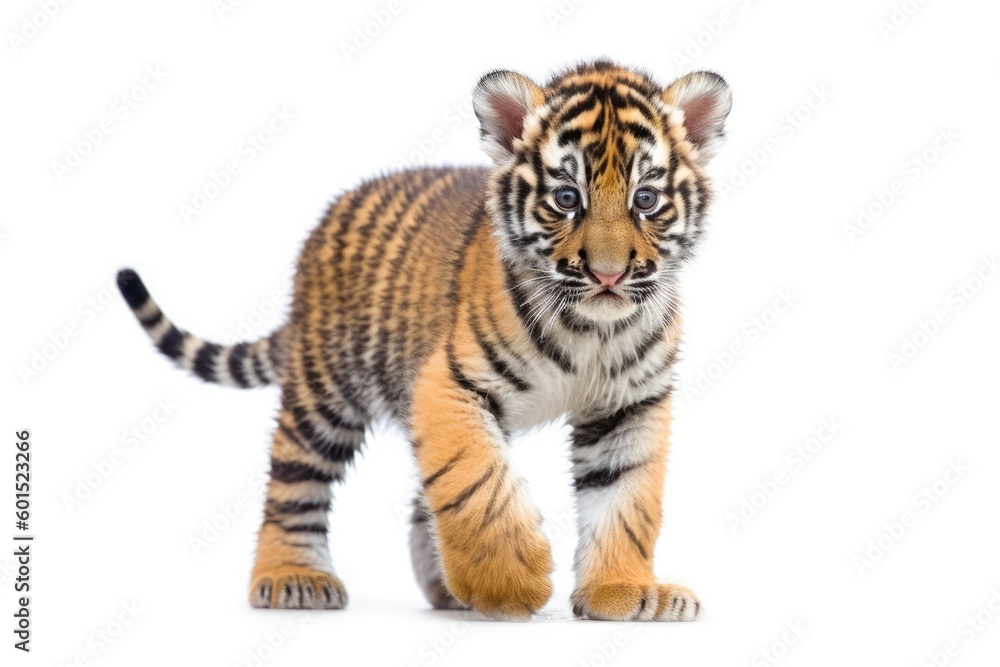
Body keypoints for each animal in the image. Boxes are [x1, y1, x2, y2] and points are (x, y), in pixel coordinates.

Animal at [117, 60, 731, 621]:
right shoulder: (448, 382)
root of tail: (324, 222)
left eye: (645, 200)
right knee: (292, 483)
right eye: (565, 198)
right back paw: (293, 577)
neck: (592, 328)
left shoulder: (631, 405)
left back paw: (450, 590)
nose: (608, 275)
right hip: (325, 393)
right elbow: (475, 481)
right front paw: (515, 582)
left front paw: (621, 592)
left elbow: (625, 500)